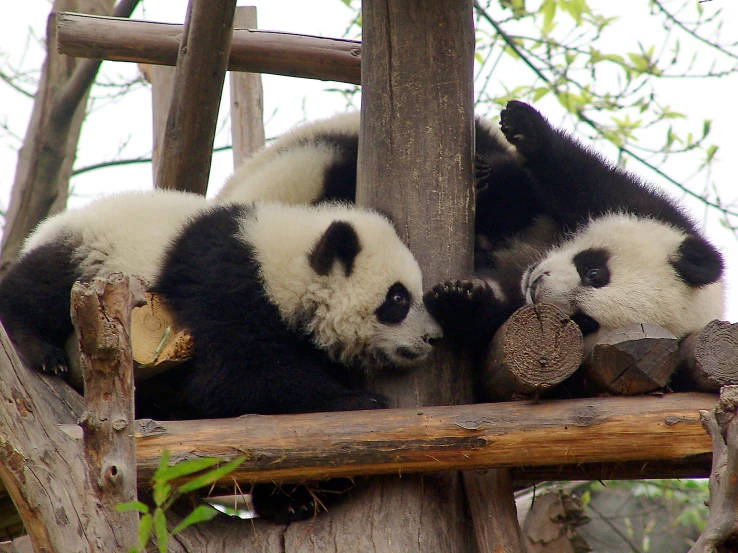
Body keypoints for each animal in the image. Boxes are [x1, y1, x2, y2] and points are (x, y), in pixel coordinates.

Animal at [216, 101, 720, 352]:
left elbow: (491, 316)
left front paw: (464, 297)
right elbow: (565, 175)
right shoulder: (642, 205)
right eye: (595, 270)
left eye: (583, 321)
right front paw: (522, 133)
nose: (538, 286)